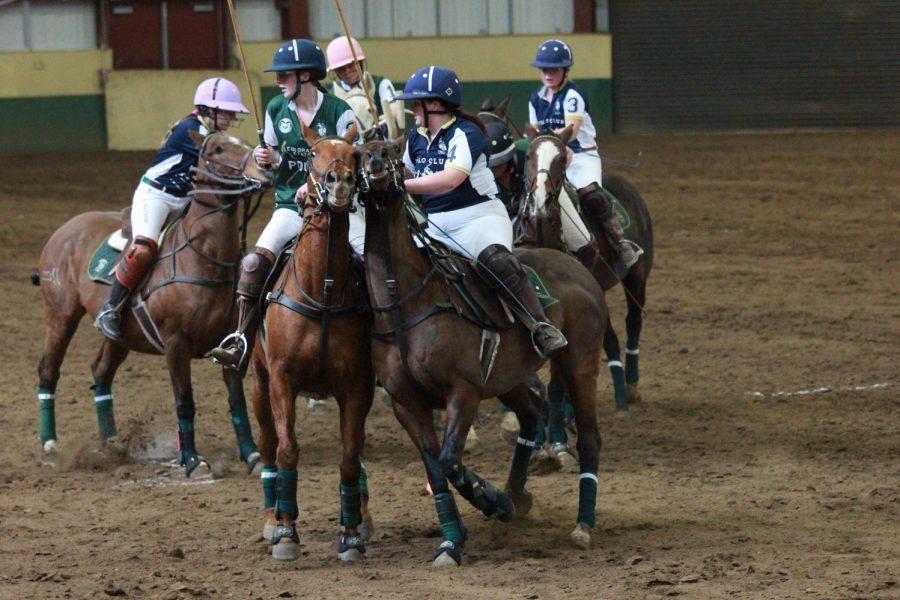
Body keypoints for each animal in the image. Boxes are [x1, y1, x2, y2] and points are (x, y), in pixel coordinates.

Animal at [34, 129, 270, 476]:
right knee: (49, 369)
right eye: (217, 148)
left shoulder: (230, 346)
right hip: (60, 315)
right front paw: (193, 461)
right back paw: (50, 443)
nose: (264, 167)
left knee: (100, 371)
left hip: (121, 335)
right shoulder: (175, 344)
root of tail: (64, 229)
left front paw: (253, 455)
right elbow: (184, 400)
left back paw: (111, 442)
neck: (203, 261)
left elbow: (236, 400)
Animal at [248, 122, 370, 564]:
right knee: (268, 444)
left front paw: (350, 535)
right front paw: (286, 531)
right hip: (257, 381)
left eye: (355, 155)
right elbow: (287, 449)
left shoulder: (357, 385)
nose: (339, 183)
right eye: (314, 153)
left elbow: (350, 455)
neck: (323, 291)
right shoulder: (282, 378)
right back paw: (271, 518)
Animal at [356, 138, 608, 564]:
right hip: (510, 376)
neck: (405, 301)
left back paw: (583, 526)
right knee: (530, 415)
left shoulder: (464, 391)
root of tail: (573, 264)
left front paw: (491, 501)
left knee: (589, 440)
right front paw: (452, 540)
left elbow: (449, 461)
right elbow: (436, 470)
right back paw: (518, 495)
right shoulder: (406, 403)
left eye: (389, 151)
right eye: (359, 153)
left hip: (580, 366)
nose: (374, 164)